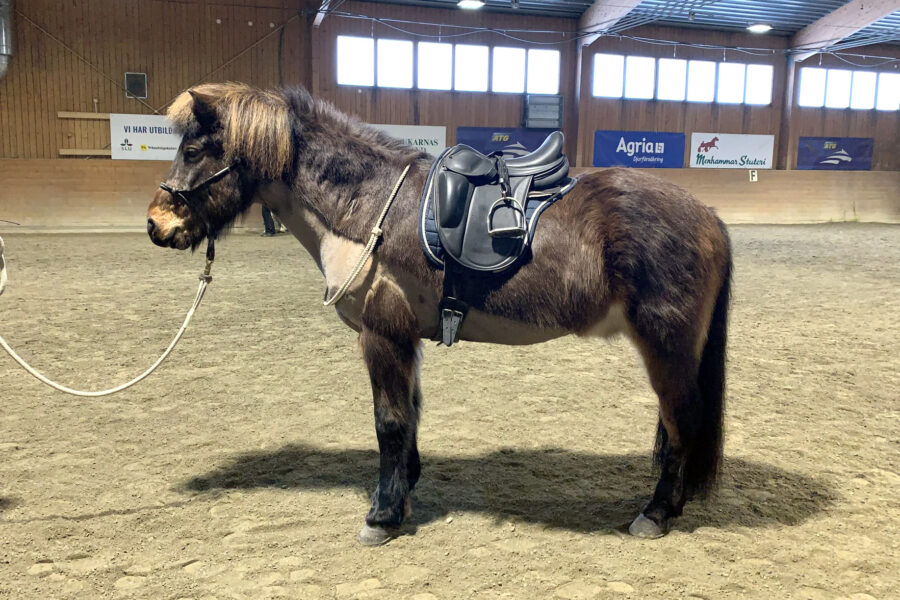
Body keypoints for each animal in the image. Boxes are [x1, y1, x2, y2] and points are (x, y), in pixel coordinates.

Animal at [146, 82, 732, 548]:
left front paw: (382, 517)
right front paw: (403, 491)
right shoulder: (406, 337)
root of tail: (707, 216)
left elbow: (388, 421)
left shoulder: (381, 334)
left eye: (194, 149)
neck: (369, 205)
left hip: (665, 346)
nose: (156, 225)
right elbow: (409, 414)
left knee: (682, 420)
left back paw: (655, 514)